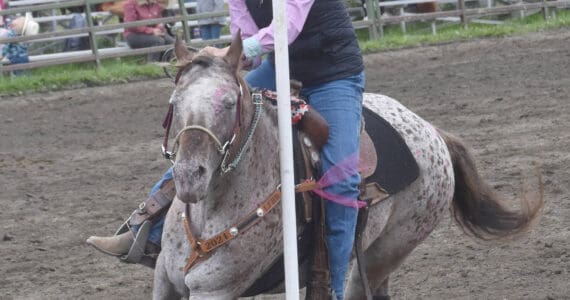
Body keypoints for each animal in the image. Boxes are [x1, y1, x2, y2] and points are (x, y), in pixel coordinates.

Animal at [151, 36, 540, 298]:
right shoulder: (164, 281)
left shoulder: (215, 289)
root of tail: (433, 132)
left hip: (387, 250)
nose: (188, 177)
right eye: (174, 102)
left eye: (230, 103)